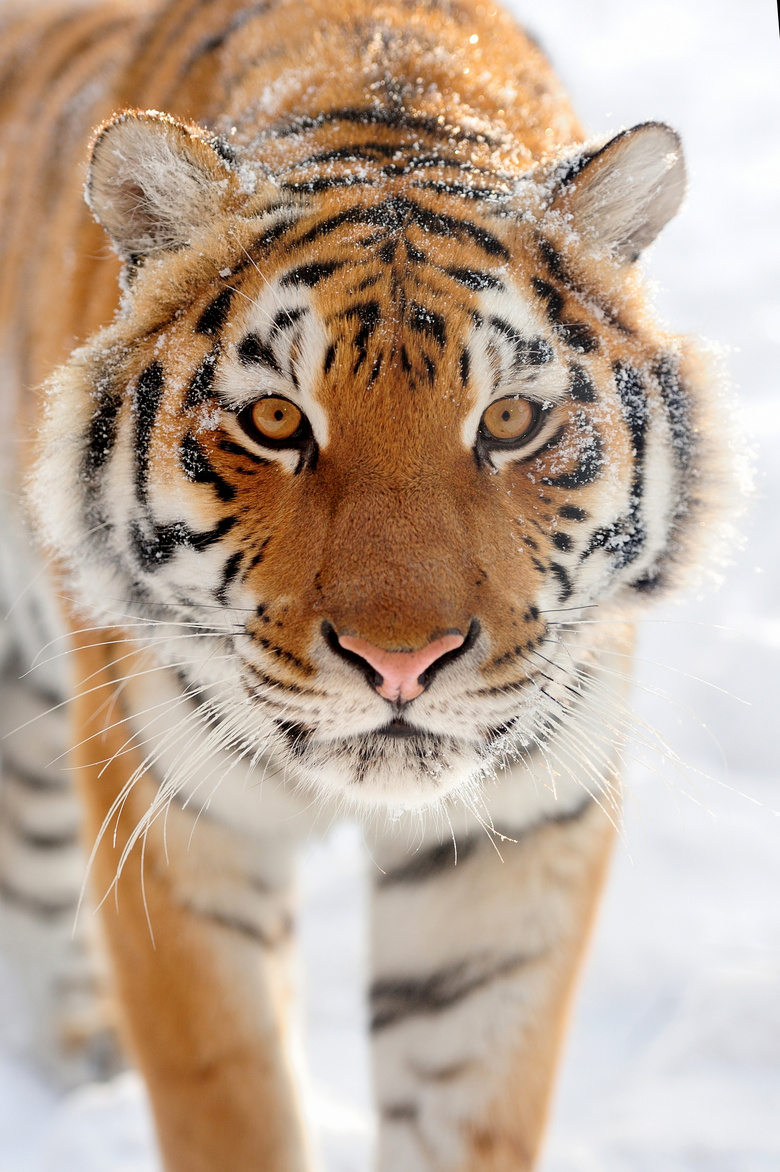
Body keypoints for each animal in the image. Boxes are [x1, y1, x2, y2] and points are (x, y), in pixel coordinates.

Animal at [0, 0, 730, 1167]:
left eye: (511, 420)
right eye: (275, 420)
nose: (402, 661)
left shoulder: (519, 834)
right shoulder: (172, 814)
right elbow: (232, 1100)